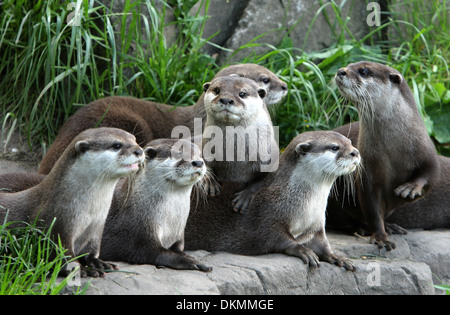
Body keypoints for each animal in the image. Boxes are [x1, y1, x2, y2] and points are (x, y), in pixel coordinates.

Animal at [0, 127, 144, 278]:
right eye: (117, 145)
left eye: (135, 140)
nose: (139, 150)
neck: (89, 211)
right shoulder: (56, 225)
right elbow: (61, 254)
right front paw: (82, 270)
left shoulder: (96, 226)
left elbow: (91, 249)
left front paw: (98, 262)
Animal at [99, 139, 212, 272]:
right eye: (178, 154)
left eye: (200, 155)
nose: (198, 162)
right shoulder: (137, 236)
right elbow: (158, 254)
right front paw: (194, 262)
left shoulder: (178, 236)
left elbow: (178, 250)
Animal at [185, 131, 360, 272]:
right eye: (334, 147)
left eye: (350, 142)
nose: (355, 152)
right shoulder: (267, 214)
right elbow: (273, 237)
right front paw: (303, 251)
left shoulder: (316, 225)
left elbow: (323, 245)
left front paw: (338, 257)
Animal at [326, 62, 440, 252]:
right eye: (349, 65)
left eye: (363, 71)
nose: (341, 71)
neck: (392, 150)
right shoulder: (367, 173)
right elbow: (372, 208)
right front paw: (380, 237)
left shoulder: (427, 150)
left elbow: (431, 175)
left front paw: (410, 188)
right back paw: (360, 228)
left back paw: (392, 226)